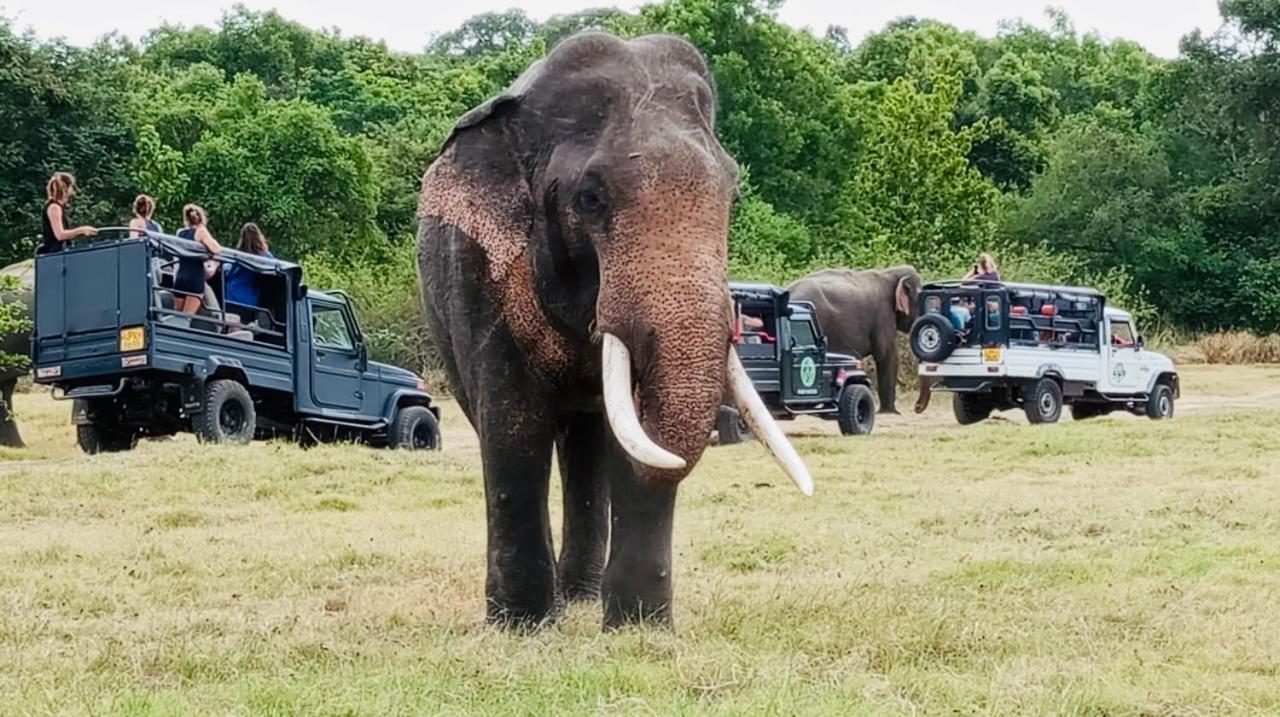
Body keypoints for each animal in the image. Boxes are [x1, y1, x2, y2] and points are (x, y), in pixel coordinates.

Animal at [414, 32, 808, 627]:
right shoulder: (481, 272)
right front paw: (523, 628)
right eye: (590, 199)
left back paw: (580, 594)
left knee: (589, 444)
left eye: (733, 195)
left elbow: (636, 438)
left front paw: (638, 629)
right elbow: (514, 424)